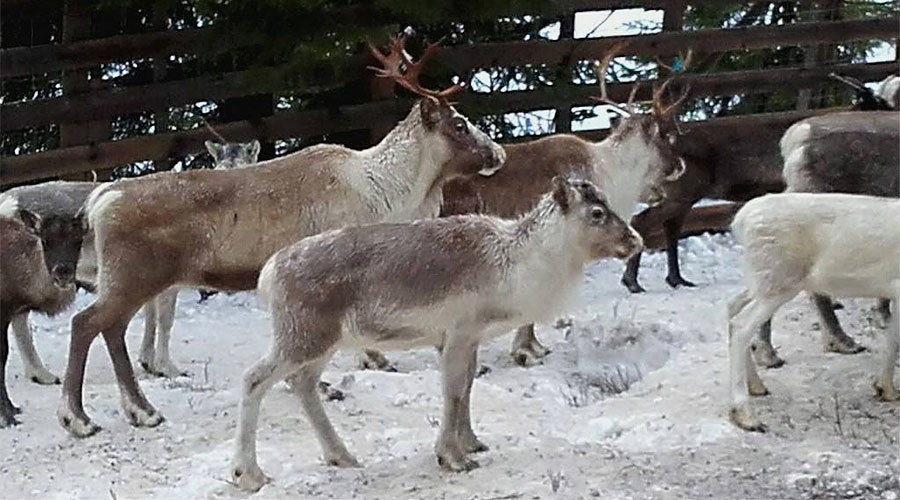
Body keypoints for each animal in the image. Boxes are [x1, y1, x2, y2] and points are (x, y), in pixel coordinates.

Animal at [0, 198, 83, 427]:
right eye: (45, 241)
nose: (63, 272)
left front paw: (12, 408)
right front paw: (5, 416)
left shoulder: (13, 312)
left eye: (78, 240)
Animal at [1, 139, 261, 386]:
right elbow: (165, 320)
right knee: (20, 320)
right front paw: (169, 368)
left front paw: (149, 363)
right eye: (222, 168)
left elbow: (151, 316)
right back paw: (43, 374)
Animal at [57, 34, 506, 438]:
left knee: (111, 329)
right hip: (134, 275)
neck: (391, 194)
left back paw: (139, 411)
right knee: (85, 323)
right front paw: (359, 367)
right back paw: (81, 418)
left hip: (131, 280)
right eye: (460, 124)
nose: (498, 154)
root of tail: (101, 200)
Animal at [229, 176, 643, 491]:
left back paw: (342, 456)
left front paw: (472, 443)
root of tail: (268, 275)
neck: (515, 268)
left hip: (323, 342)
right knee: (254, 378)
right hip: (301, 336)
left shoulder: (471, 337)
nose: (635, 240)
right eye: (597, 213)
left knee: (303, 383)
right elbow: (453, 390)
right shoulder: (458, 332)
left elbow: (468, 388)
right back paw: (249, 474)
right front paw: (452, 458)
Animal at [726, 193, 899, 432]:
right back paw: (746, 416)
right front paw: (887, 389)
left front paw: (885, 389)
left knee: (732, 306)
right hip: (780, 278)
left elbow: (892, 339)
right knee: (742, 324)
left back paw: (756, 386)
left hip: (762, 280)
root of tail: (739, 223)